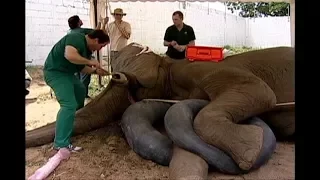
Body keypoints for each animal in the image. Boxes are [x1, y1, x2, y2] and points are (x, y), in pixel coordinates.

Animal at [26, 43, 294, 179]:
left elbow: (259, 90)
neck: (168, 63)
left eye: (129, 82)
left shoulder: (198, 69)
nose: (115, 74)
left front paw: (250, 151)